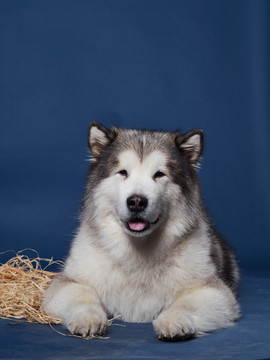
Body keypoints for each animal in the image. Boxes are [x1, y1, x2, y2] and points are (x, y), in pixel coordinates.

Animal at [43, 122, 239, 342]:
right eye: (122, 172)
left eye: (159, 174)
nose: (136, 201)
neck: (138, 251)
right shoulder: (65, 284)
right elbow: (82, 297)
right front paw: (89, 319)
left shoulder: (214, 290)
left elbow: (185, 304)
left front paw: (173, 321)